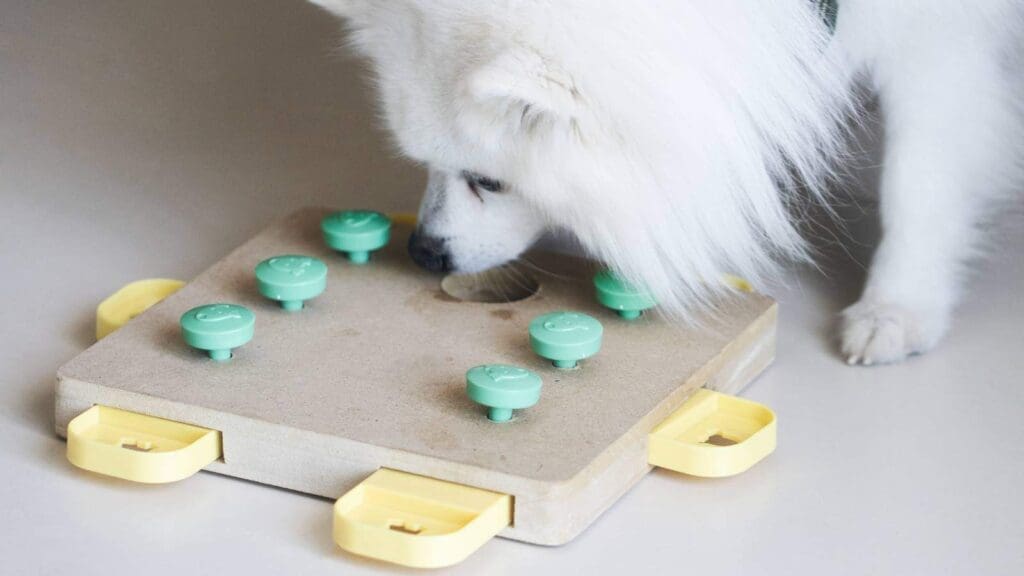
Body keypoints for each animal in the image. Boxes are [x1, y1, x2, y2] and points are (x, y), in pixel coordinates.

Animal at [311, 1, 1024, 362]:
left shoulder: (939, 46)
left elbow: (920, 184)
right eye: (421, 161)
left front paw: (898, 307)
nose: (421, 252)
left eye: (489, 180)